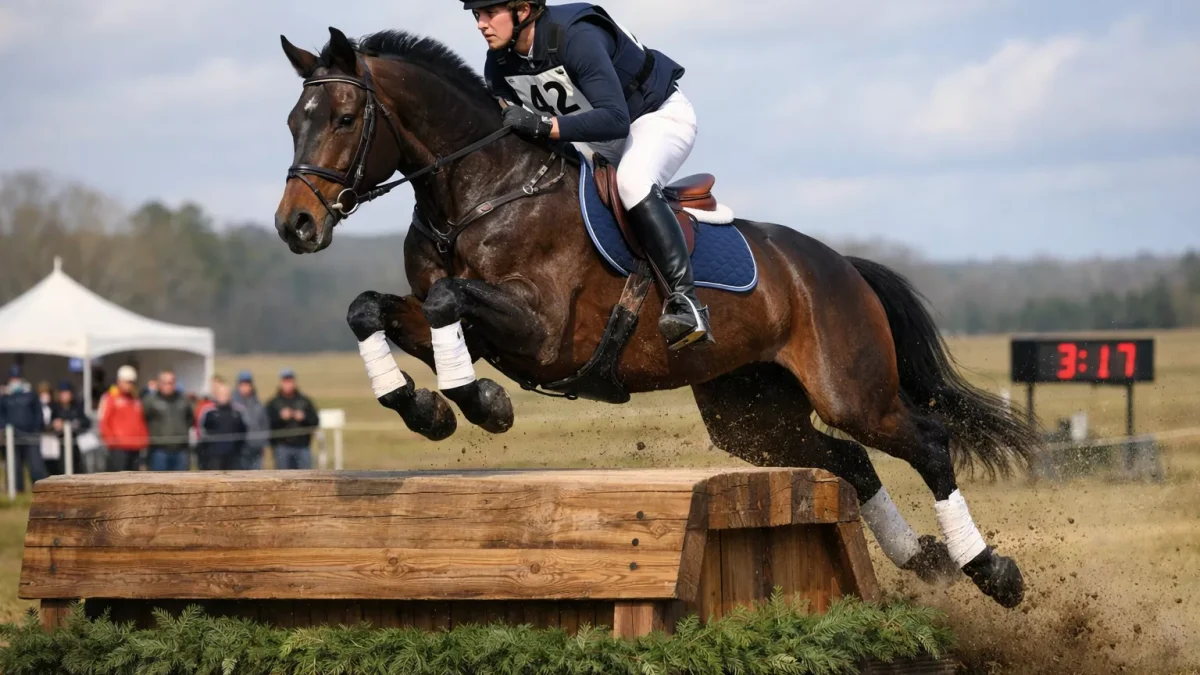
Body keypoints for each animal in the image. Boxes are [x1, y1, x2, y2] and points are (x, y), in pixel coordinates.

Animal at [273, 27, 1040, 609]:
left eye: (344, 119)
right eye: (291, 122)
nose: (295, 226)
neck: (479, 193)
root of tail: (841, 266)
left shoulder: (541, 331)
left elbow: (446, 303)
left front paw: (484, 405)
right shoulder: (473, 328)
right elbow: (371, 309)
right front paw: (427, 409)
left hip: (851, 389)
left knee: (927, 442)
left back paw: (992, 572)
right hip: (750, 413)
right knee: (846, 459)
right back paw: (923, 558)